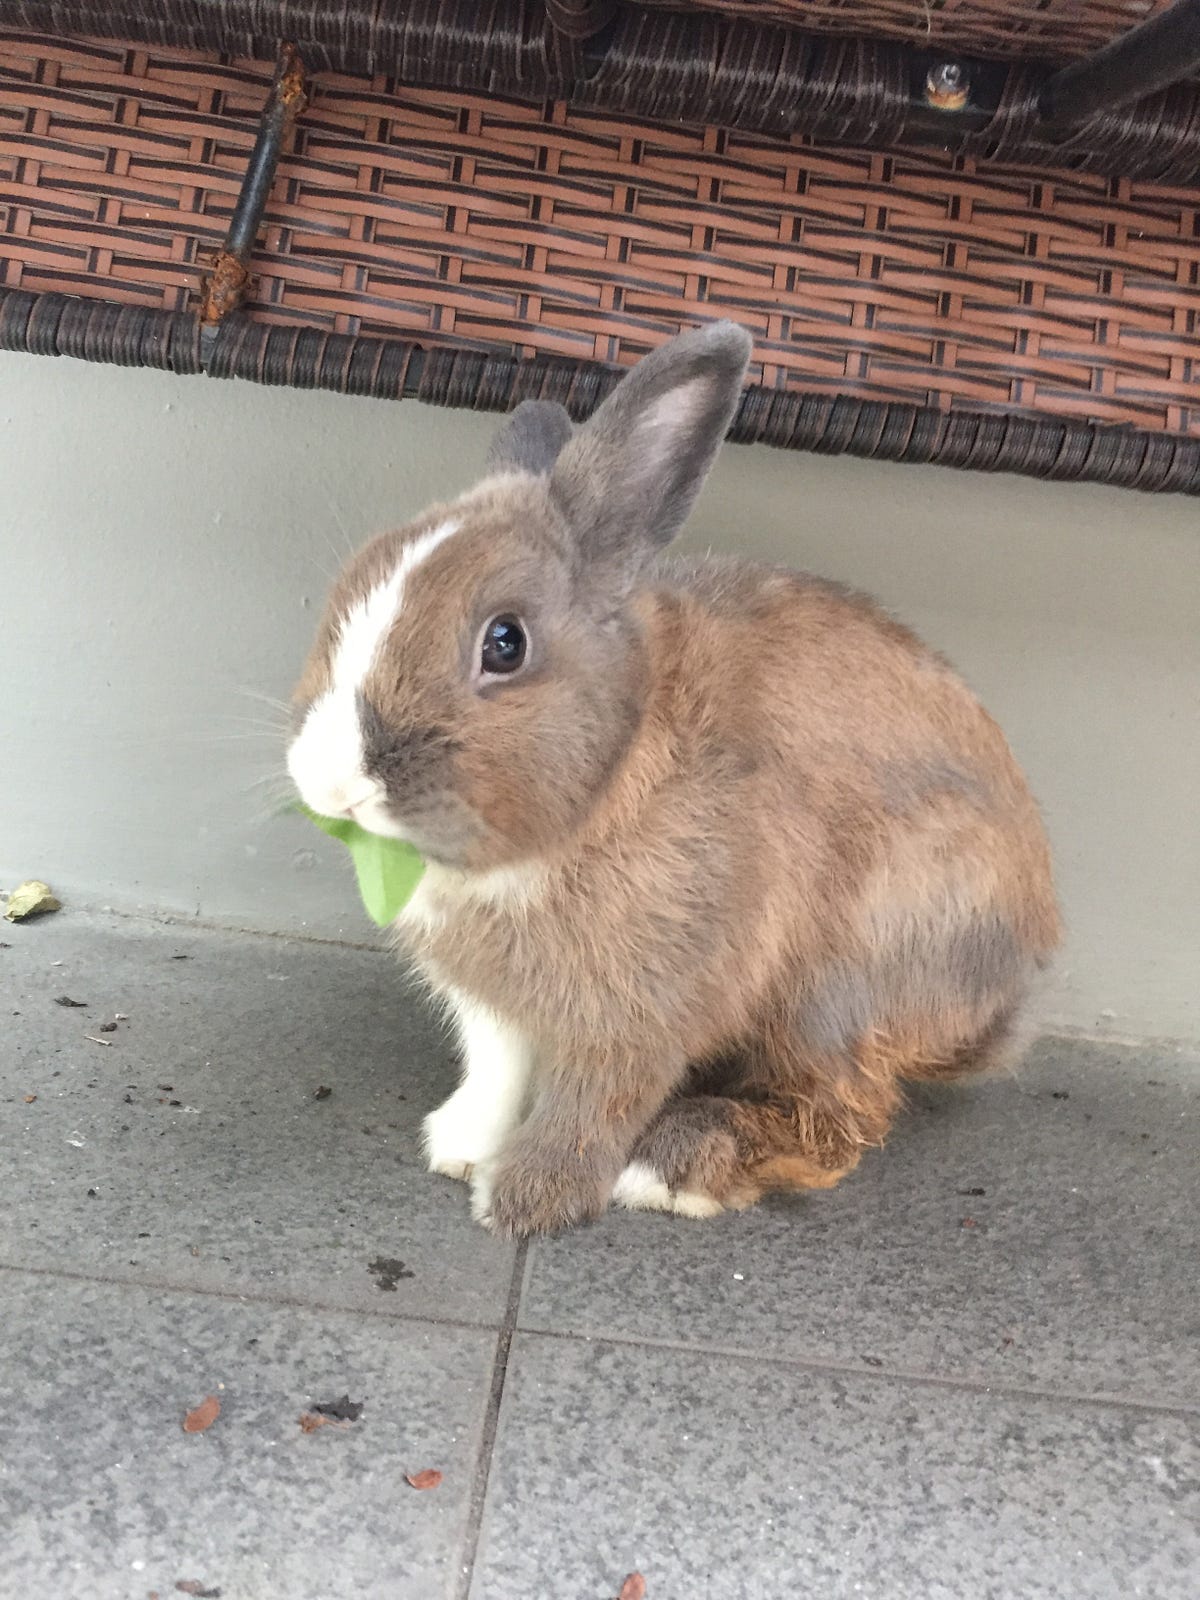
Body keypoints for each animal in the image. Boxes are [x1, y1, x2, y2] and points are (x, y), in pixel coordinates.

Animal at [287, 320, 1061, 1239]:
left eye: (504, 644)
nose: (330, 785)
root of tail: (1001, 1002)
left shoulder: (644, 1009)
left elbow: (596, 1100)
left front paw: (528, 1200)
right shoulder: (495, 1010)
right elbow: (498, 1070)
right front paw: (462, 1147)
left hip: (843, 981)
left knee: (843, 1116)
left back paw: (676, 1169)